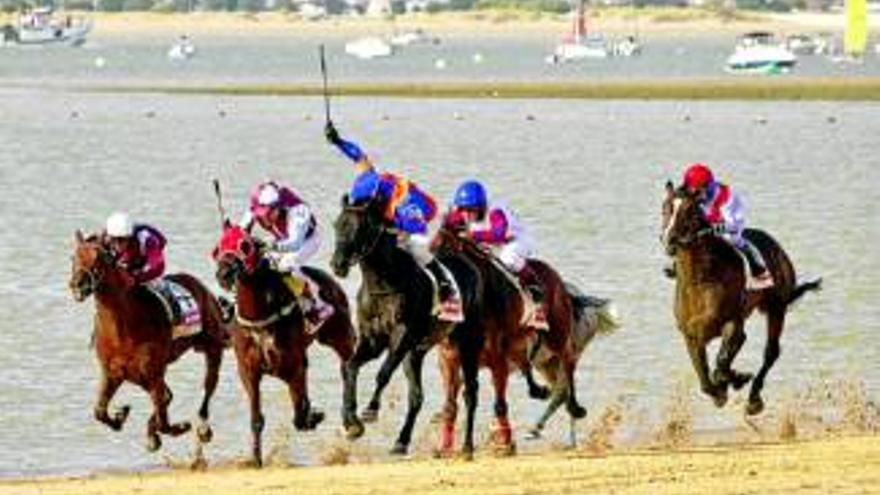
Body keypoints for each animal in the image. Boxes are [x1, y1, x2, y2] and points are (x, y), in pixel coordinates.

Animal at [69, 232, 229, 454]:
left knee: (208, 386)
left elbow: (164, 420)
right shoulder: (113, 373)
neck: (122, 327)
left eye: (98, 258)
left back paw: (202, 427)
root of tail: (201, 287)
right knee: (167, 396)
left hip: (212, 347)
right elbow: (99, 411)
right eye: (73, 257)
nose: (78, 285)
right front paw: (120, 415)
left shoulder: (152, 373)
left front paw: (179, 427)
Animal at [212, 223, 354, 466]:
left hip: (339, 336)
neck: (260, 317)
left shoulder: (291, 367)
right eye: (219, 246)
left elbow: (299, 416)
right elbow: (257, 418)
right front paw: (255, 459)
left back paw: (352, 421)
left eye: (245, 245)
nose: (224, 274)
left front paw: (312, 416)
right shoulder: (249, 371)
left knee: (348, 367)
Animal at [332, 195, 484, 458]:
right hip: (417, 351)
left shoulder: (401, 337)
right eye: (336, 225)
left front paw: (370, 410)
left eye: (359, 229)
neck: (383, 283)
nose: (337, 264)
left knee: (471, 393)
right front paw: (351, 422)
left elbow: (383, 373)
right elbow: (350, 367)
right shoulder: (373, 341)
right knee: (416, 397)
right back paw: (401, 442)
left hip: (467, 343)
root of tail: (469, 265)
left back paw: (466, 447)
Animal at [664, 182, 820, 414]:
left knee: (770, 352)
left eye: (689, 210)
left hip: (777, 308)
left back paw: (754, 399)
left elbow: (720, 364)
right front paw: (722, 390)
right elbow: (704, 379)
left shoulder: (730, 323)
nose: (670, 239)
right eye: (665, 207)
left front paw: (736, 379)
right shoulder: (690, 335)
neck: (700, 280)